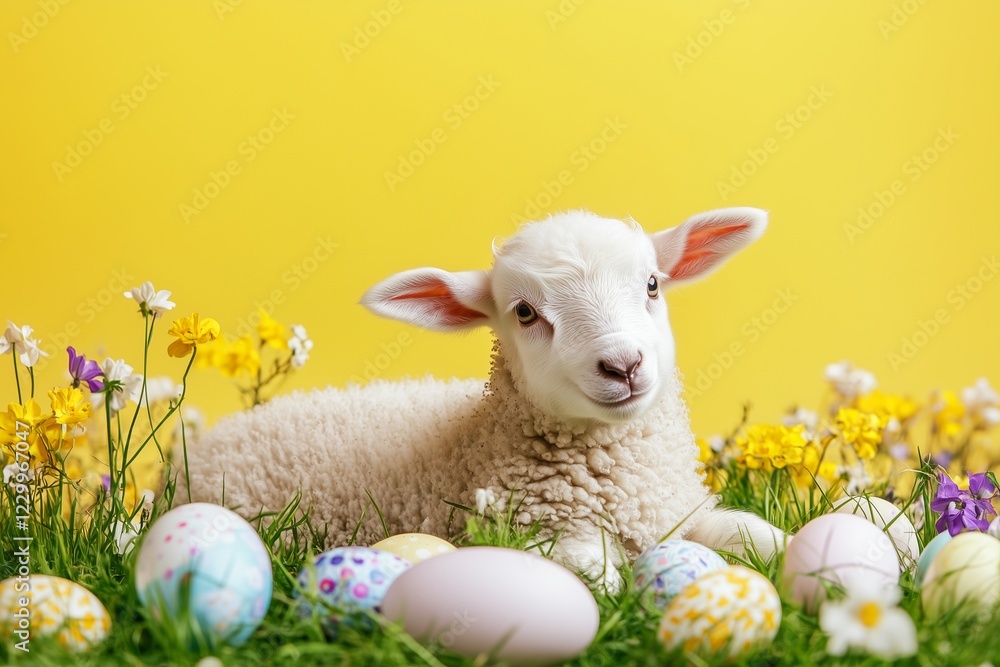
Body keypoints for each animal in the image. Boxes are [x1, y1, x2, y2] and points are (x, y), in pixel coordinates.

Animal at [180, 207, 785, 591]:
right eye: (525, 312)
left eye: (653, 285)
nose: (623, 364)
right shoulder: (540, 534)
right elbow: (599, 579)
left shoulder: (678, 513)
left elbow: (754, 535)